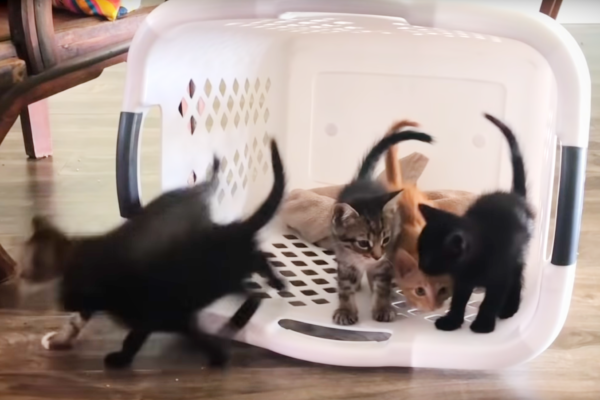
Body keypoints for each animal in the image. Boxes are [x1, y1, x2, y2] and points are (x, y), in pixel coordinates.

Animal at [21, 139, 288, 368]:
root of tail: (197, 190)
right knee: (257, 264)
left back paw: (274, 285)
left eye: (33, 261)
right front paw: (61, 339)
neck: (76, 251)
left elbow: (127, 334)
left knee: (257, 267)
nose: (20, 274)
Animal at [330, 130, 434, 324]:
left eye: (386, 239)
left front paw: (382, 308)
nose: (377, 256)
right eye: (363, 243)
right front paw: (346, 310)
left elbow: (381, 286)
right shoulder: (345, 261)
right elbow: (345, 287)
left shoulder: (386, 262)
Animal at [418, 113, 536, 334]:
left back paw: (509, 308)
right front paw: (451, 321)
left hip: (517, 255)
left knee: (517, 280)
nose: (421, 266)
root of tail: (515, 197)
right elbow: (458, 300)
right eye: (419, 251)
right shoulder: (462, 280)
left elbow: (490, 301)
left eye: (430, 256)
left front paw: (483, 323)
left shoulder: (499, 277)